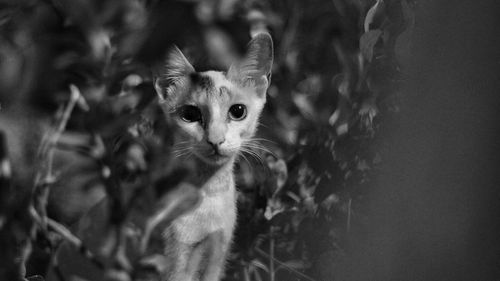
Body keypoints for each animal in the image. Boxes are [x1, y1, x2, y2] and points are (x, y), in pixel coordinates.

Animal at [154, 32, 274, 280]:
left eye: (238, 111)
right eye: (190, 114)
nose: (216, 140)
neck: (210, 192)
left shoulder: (218, 250)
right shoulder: (176, 258)